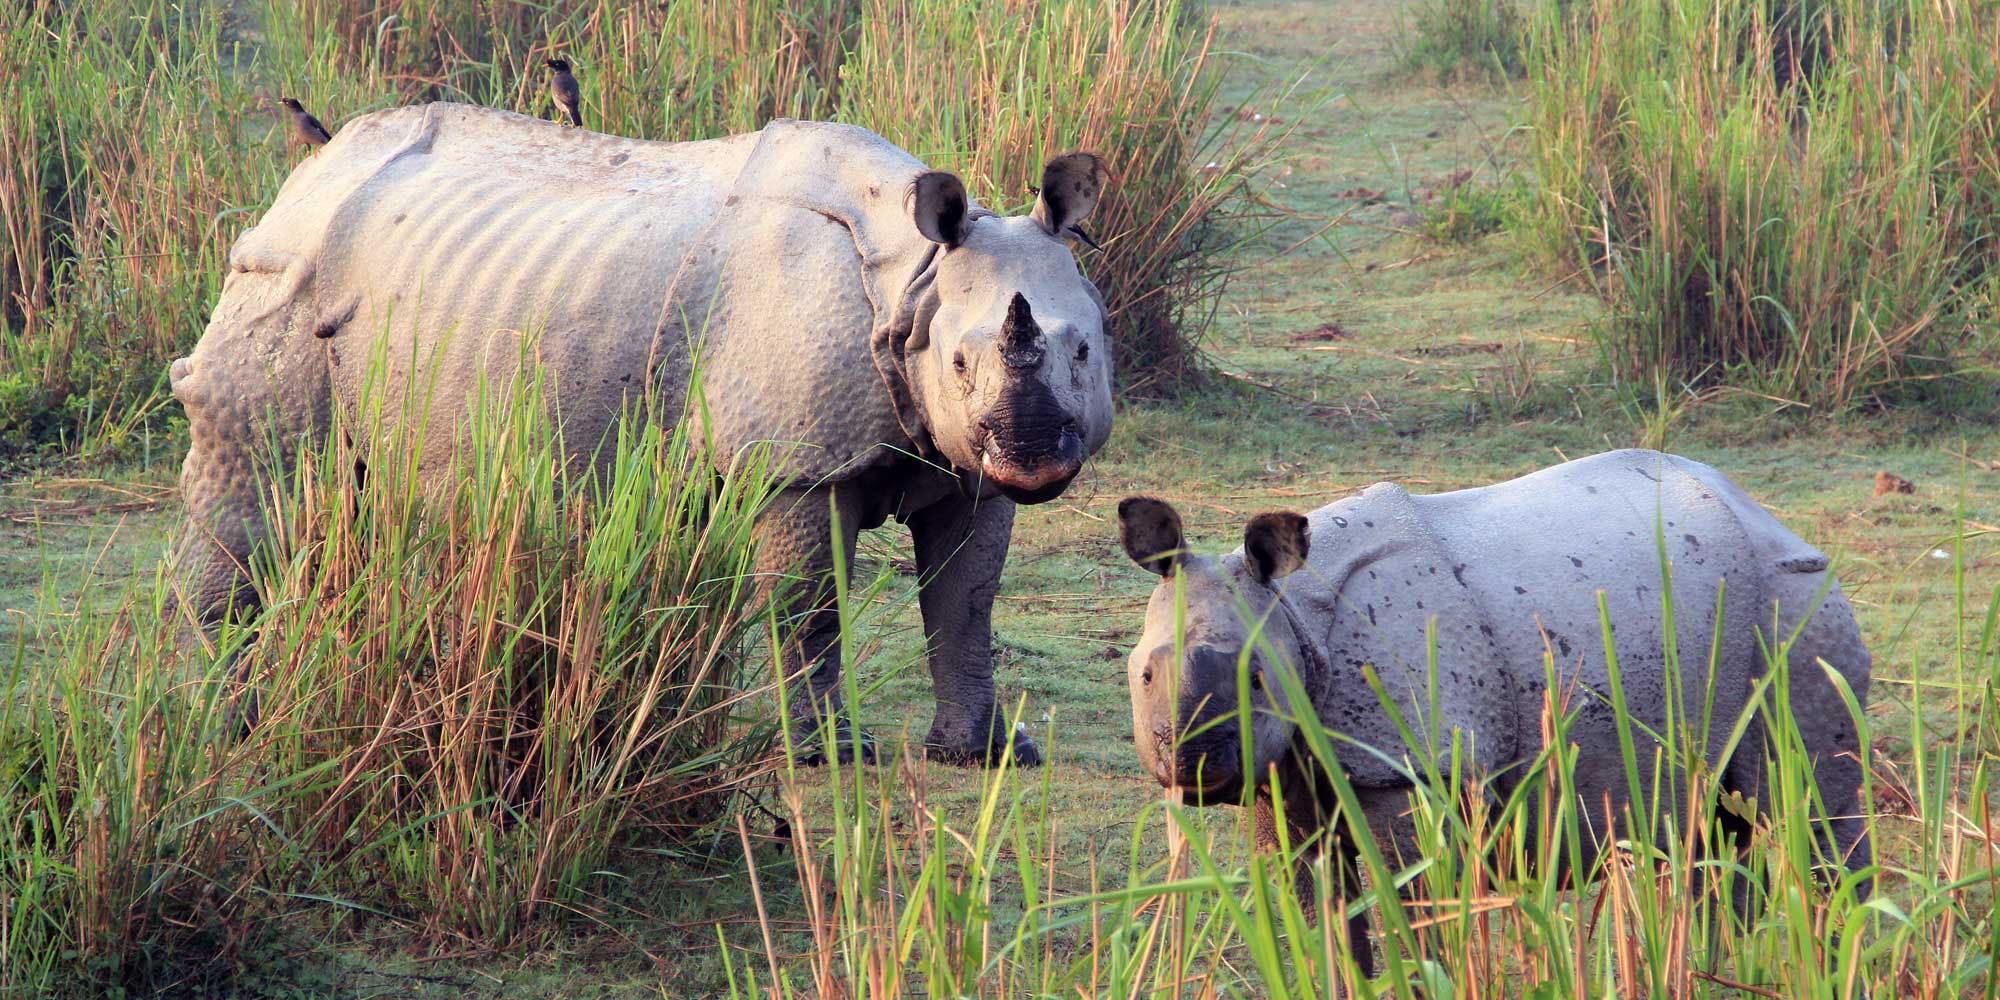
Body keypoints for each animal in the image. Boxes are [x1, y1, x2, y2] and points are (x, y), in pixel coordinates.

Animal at [164, 105, 1120, 764]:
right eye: (958, 363)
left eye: (1084, 351)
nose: (1035, 458)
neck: (912, 281)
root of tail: (305, 177)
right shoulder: (797, 464)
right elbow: (808, 604)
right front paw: (828, 756)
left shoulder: (962, 464)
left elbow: (965, 599)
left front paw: (989, 754)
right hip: (281, 278)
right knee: (261, 481)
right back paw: (227, 723)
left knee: (355, 503)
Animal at [1120, 454, 1864, 968]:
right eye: (1146, 674)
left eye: (1256, 680)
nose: (1190, 762)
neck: (1296, 610)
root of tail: (1768, 516)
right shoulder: (1286, 774)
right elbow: (1319, 918)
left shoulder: (1415, 767)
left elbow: (1420, 917)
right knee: (1713, 836)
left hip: (1794, 608)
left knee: (1810, 822)